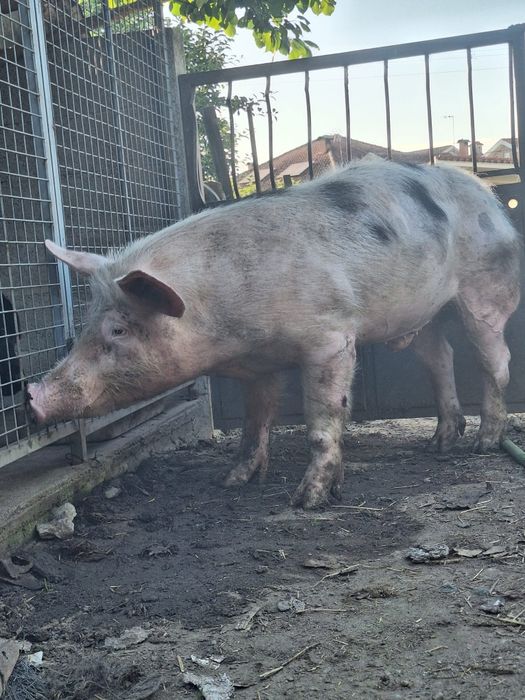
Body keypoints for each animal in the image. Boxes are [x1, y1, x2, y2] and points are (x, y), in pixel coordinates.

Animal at [27, 159, 521, 508]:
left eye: (118, 328)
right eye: (86, 321)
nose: (32, 396)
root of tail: (490, 197)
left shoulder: (330, 338)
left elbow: (322, 419)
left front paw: (307, 501)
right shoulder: (258, 366)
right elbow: (254, 422)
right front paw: (230, 481)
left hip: (485, 290)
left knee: (495, 359)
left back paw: (484, 443)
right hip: (422, 313)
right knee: (440, 357)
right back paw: (438, 445)